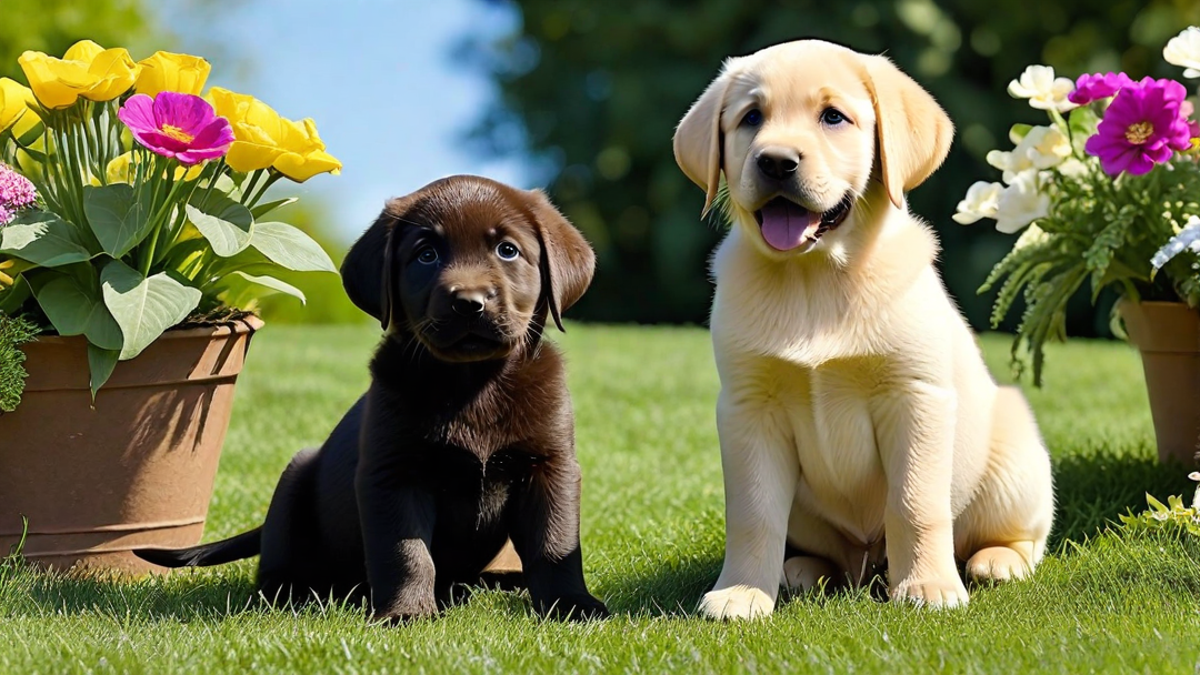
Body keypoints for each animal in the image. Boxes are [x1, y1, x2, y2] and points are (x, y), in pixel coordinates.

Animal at [672, 39, 1056, 619]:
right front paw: (741, 593)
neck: (815, 278)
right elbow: (753, 514)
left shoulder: (914, 397)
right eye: (751, 118)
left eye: (834, 117)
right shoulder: (748, 409)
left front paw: (927, 587)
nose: (776, 161)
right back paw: (803, 570)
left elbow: (914, 503)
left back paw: (996, 561)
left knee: (1021, 536)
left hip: (1017, 463)